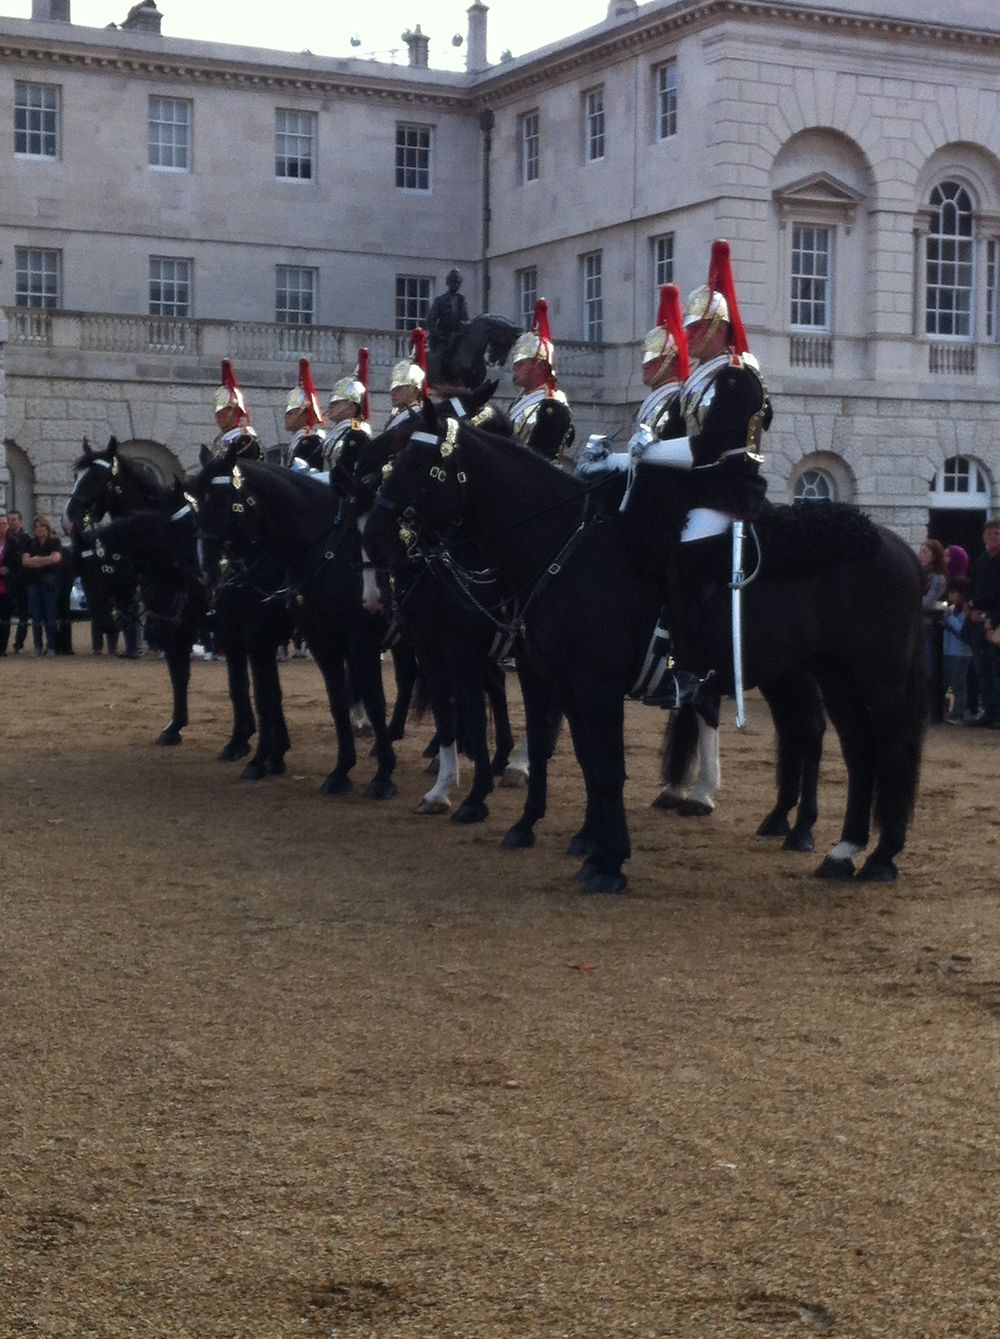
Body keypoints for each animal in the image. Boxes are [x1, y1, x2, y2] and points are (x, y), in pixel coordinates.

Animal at [79, 487, 208, 749]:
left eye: (98, 571)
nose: (104, 622)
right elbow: (179, 676)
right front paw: (175, 726)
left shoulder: (177, 632)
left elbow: (180, 675)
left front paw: (174, 728)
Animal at [191, 452, 398, 792]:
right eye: (196, 503)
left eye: (224, 501)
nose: (206, 570)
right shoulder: (287, 639)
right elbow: (275, 695)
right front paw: (334, 769)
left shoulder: (359, 640)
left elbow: (375, 701)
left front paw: (383, 775)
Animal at [364, 407, 926, 889]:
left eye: (419, 465)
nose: (374, 539)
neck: (564, 549)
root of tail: (900, 548)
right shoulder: (556, 679)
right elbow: (584, 762)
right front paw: (584, 844)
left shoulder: (587, 683)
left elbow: (604, 766)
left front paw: (607, 862)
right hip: (834, 672)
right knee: (854, 748)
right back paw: (842, 848)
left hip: (876, 675)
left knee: (888, 747)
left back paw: (876, 854)